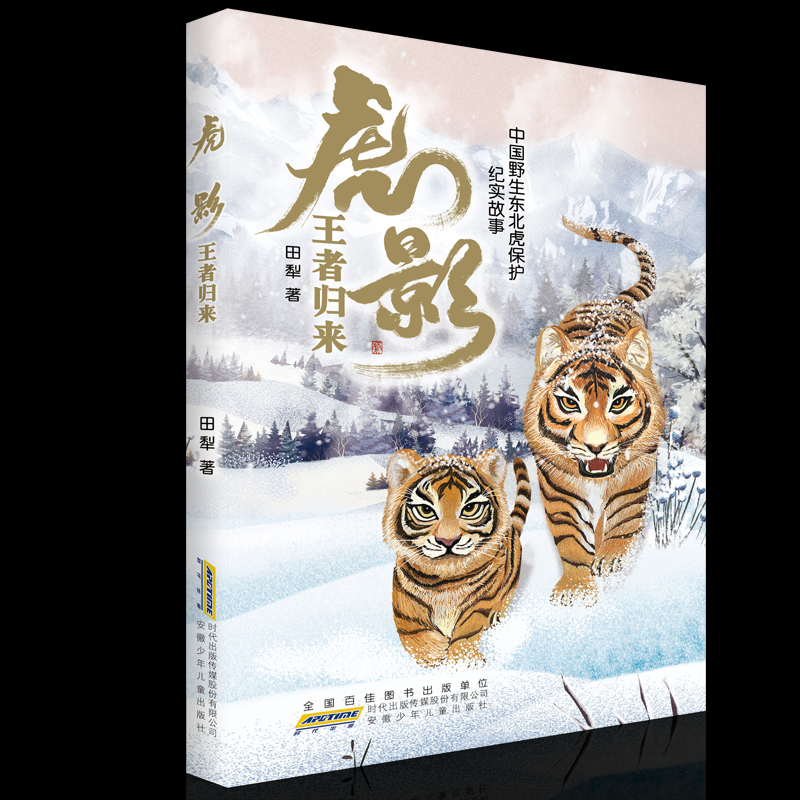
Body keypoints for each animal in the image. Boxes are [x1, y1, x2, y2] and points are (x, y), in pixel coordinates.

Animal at [382, 449, 530, 668]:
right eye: (426, 510)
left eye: (470, 508)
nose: (448, 541)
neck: (445, 580)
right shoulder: (404, 608)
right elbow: (412, 635)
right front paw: (434, 651)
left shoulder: (483, 601)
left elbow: (468, 627)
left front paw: (462, 662)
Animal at [522, 216, 665, 607]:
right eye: (570, 403)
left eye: (619, 403)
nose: (596, 446)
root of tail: (611, 300)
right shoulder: (556, 484)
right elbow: (569, 537)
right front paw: (574, 589)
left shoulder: (638, 471)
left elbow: (625, 519)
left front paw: (613, 560)